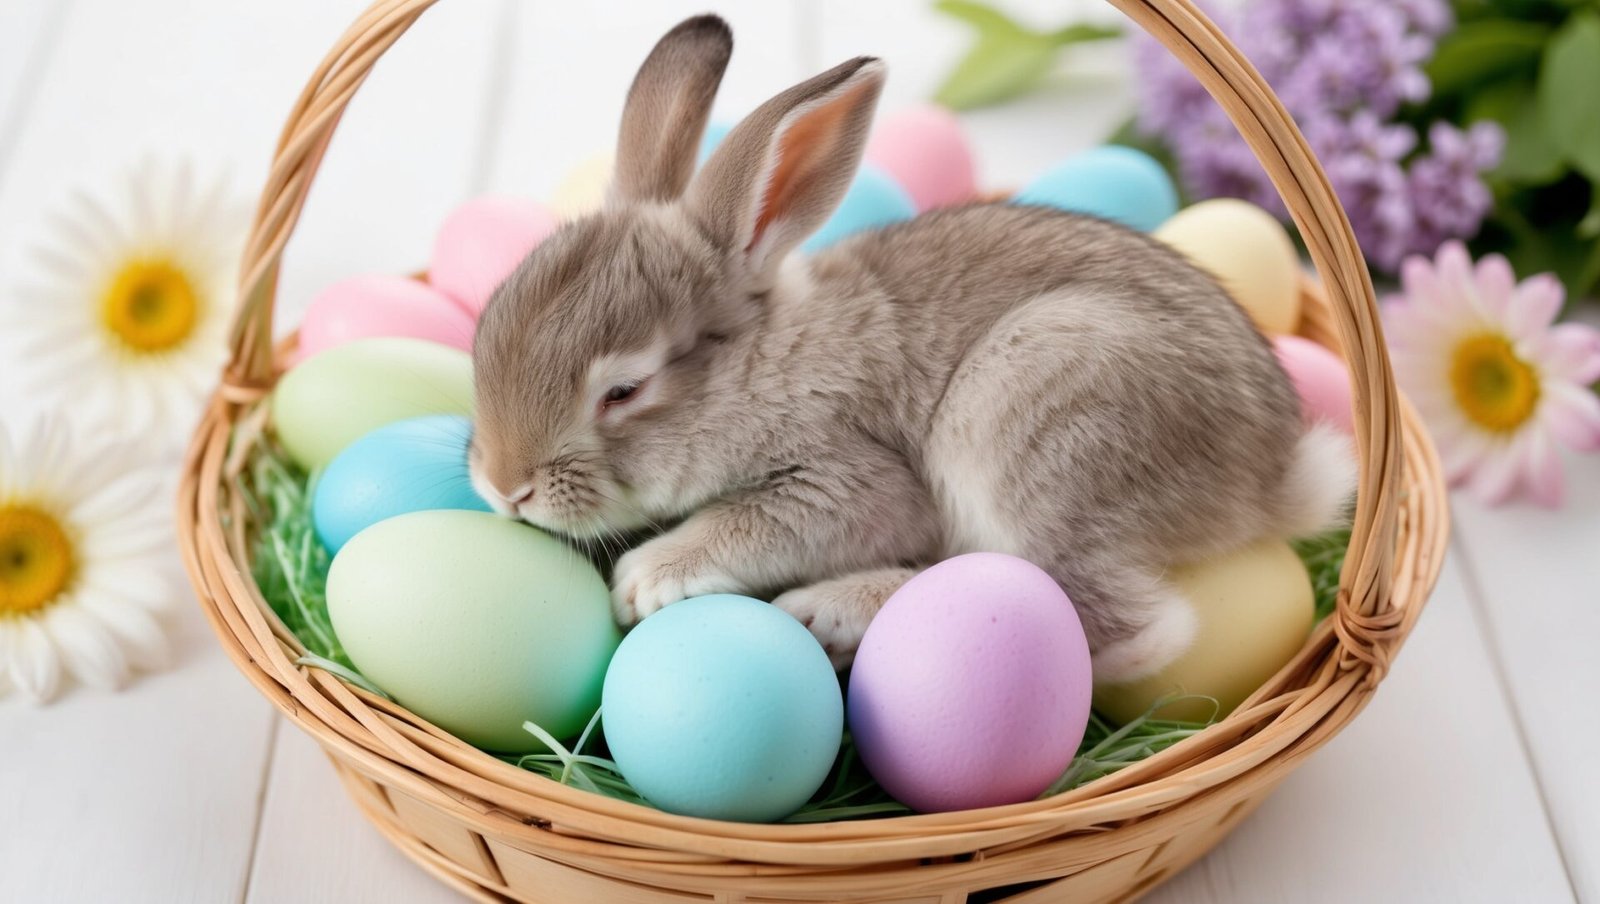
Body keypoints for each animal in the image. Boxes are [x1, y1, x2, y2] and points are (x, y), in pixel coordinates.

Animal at [467, 14, 1356, 681]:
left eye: (623, 390)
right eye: (484, 330)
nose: (505, 489)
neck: (757, 362)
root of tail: (1274, 478)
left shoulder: (846, 480)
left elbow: (751, 522)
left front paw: (646, 579)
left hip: (1029, 419)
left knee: (1115, 623)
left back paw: (834, 611)